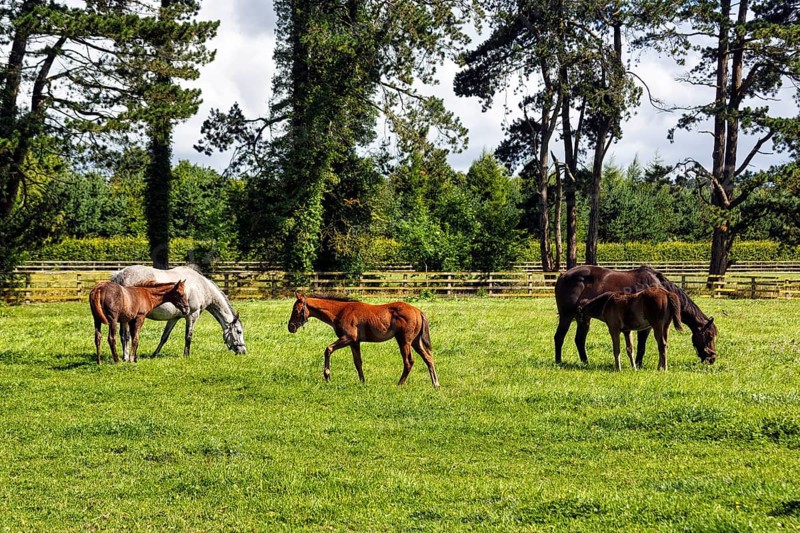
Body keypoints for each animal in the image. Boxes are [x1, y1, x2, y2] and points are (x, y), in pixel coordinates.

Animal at [111, 265, 246, 359]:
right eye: (239, 331)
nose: (243, 351)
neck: (201, 286)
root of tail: (120, 274)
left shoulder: (173, 318)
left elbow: (164, 337)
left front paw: (154, 354)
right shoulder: (192, 316)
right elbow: (188, 336)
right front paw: (186, 355)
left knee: (123, 336)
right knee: (126, 336)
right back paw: (126, 357)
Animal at [287, 293, 440, 387]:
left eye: (296, 310)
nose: (291, 327)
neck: (340, 311)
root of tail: (418, 311)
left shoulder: (348, 338)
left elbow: (328, 349)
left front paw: (327, 376)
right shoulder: (355, 342)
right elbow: (358, 362)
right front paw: (362, 381)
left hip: (404, 340)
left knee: (409, 361)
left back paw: (400, 384)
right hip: (415, 341)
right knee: (428, 358)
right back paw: (436, 384)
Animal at [554, 265, 717, 366]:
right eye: (709, 336)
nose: (712, 358)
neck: (659, 285)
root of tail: (563, 276)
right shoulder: (647, 327)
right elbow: (641, 347)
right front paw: (638, 364)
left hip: (583, 318)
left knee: (579, 340)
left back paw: (585, 362)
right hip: (567, 316)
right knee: (559, 337)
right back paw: (558, 361)